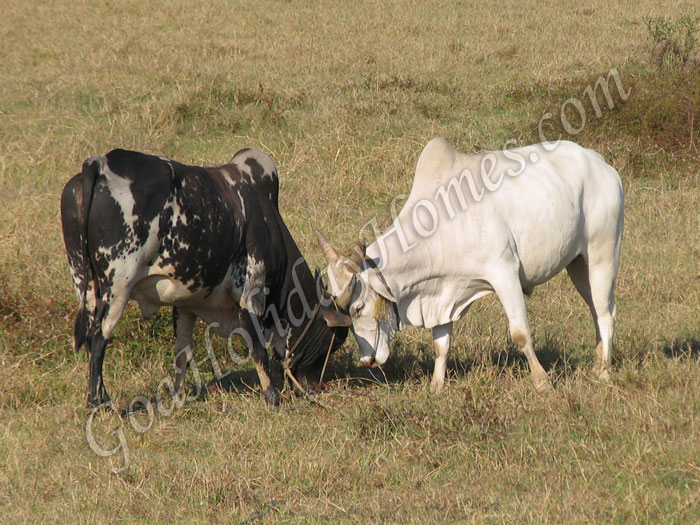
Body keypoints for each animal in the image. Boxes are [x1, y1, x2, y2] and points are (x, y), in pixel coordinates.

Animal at [61, 149, 350, 408]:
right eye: (334, 339)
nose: (315, 387)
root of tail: (101, 163)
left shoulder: (185, 304)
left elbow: (183, 355)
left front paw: (177, 398)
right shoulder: (250, 293)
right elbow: (259, 350)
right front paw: (273, 398)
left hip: (85, 282)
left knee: (90, 337)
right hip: (118, 284)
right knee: (98, 339)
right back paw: (99, 403)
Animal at [318, 137, 624, 390]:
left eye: (358, 308)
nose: (367, 360)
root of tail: (601, 165)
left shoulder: (504, 273)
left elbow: (520, 334)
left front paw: (542, 382)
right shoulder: (442, 292)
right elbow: (441, 345)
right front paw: (436, 386)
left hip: (602, 254)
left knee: (605, 313)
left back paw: (604, 373)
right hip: (578, 264)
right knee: (597, 310)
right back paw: (598, 364)